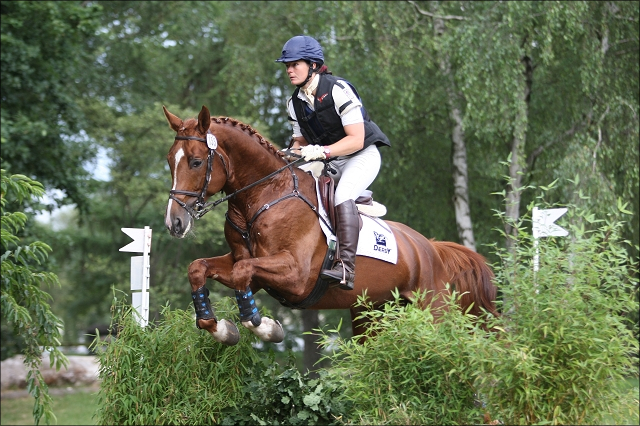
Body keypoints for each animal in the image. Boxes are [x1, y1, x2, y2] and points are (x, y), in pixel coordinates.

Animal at [162, 104, 498, 346]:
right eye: (169, 161)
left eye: (195, 162)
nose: (174, 223)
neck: (263, 195)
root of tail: (431, 248)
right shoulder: (249, 268)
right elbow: (200, 268)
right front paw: (220, 328)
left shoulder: (295, 275)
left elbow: (243, 273)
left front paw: (266, 328)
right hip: (370, 314)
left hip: (433, 309)